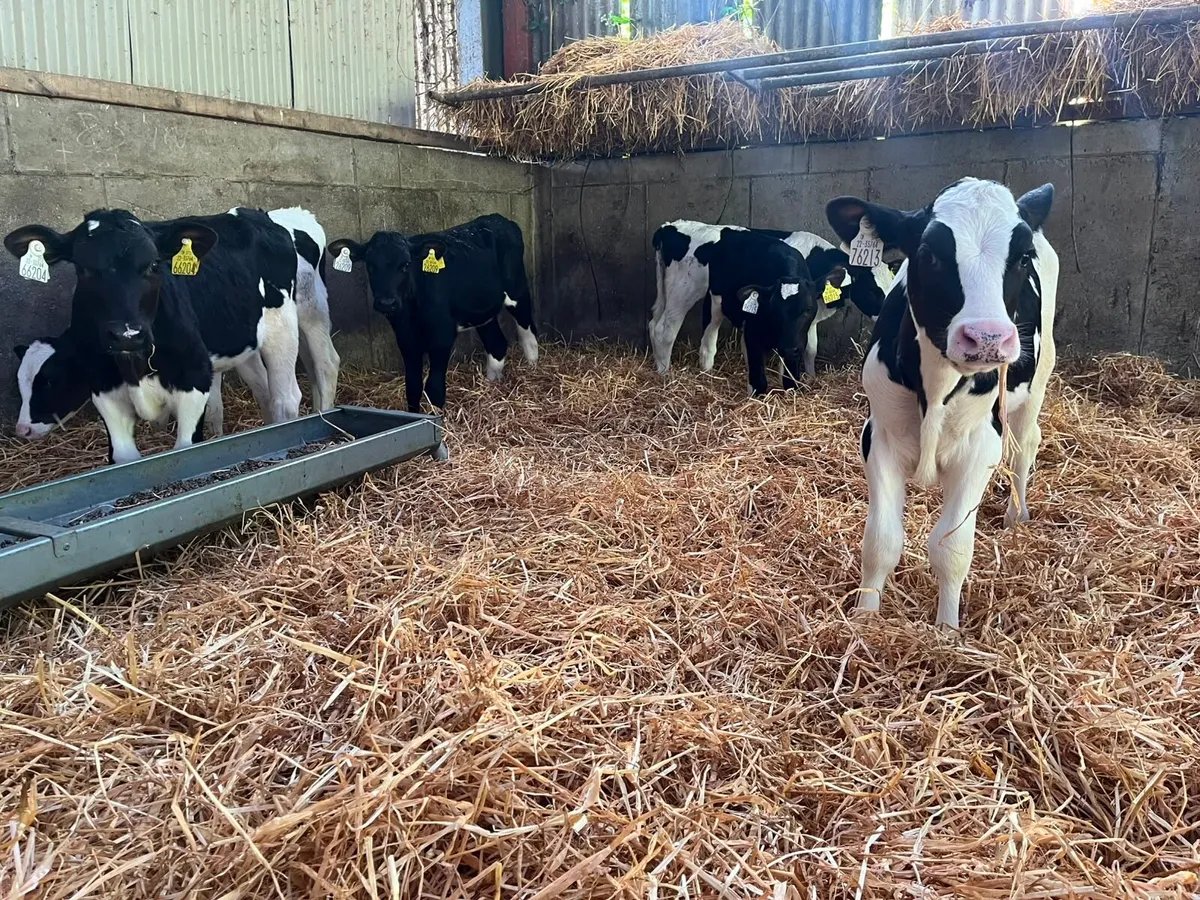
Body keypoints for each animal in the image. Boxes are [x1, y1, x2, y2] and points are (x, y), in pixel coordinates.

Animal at [11, 208, 340, 445]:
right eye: (82, 269)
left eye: (50, 380)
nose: (23, 429)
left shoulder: (193, 375)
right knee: (265, 388)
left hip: (299, 317)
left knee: (311, 376)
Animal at [328, 213, 537, 413]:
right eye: (370, 265)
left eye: (406, 264)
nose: (386, 302)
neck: (412, 315)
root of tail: (499, 219)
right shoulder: (406, 340)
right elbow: (412, 387)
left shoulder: (442, 337)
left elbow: (434, 388)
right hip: (482, 309)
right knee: (496, 344)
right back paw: (492, 385)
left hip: (517, 292)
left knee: (529, 337)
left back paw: (532, 367)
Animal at [649, 220, 892, 377]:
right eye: (873, 291)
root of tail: (668, 227)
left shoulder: (809, 318)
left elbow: (811, 348)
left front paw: (811, 379)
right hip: (683, 290)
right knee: (665, 330)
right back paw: (666, 375)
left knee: (653, 324)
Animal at [824, 177, 1058, 630]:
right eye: (929, 254)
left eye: (1022, 257)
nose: (986, 337)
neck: (935, 391)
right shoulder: (878, 438)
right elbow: (880, 542)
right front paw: (865, 619)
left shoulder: (980, 448)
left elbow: (952, 549)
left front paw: (947, 631)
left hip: (1038, 379)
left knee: (1026, 444)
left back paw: (1016, 515)